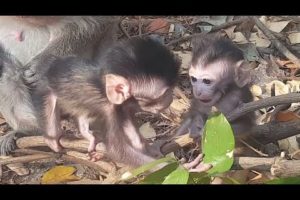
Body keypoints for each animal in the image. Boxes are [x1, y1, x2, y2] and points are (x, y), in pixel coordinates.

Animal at [38, 37, 182, 166]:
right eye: (162, 95)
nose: (170, 98)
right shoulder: (109, 111)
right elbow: (118, 151)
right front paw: (169, 167)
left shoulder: (122, 106)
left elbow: (131, 130)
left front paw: (151, 149)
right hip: (45, 88)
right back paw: (52, 137)